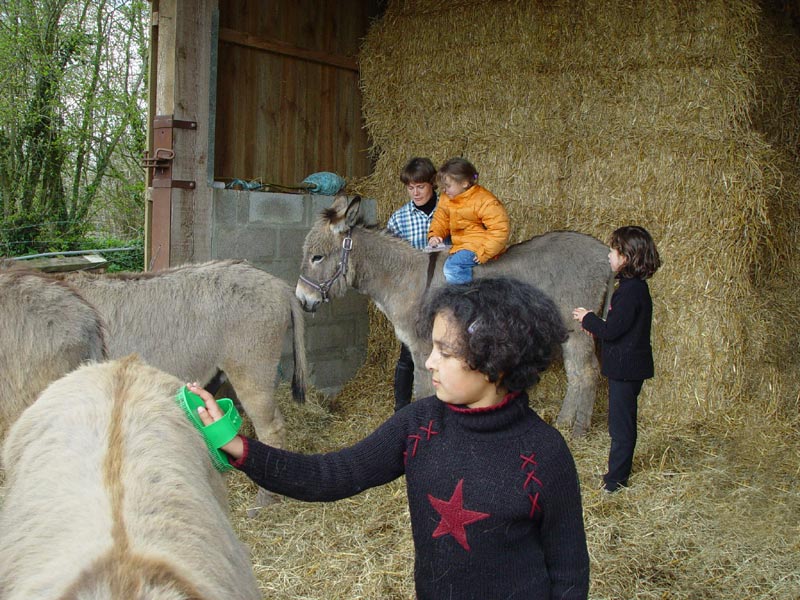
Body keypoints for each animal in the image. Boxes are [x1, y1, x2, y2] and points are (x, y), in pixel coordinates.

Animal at [295, 195, 613, 437]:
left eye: (317, 257)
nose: (302, 299)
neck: (405, 278)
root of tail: (606, 252)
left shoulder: (424, 347)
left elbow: (424, 390)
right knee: (577, 372)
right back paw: (565, 423)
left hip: (577, 323)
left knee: (586, 371)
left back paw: (577, 430)